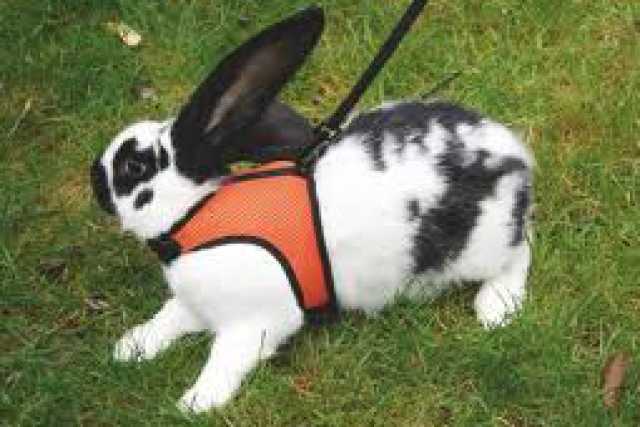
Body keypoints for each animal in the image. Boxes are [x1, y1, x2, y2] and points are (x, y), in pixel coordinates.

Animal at [90, 6, 533, 413]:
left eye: (134, 167)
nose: (94, 176)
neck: (197, 214)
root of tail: (510, 152)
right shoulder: (196, 304)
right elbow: (169, 316)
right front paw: (131, 346)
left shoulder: (254, 321)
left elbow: (226, 358)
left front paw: (197, 402)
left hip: (482, 245)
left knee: (521, 251)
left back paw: (496, 307)